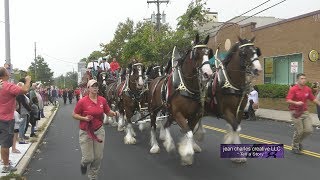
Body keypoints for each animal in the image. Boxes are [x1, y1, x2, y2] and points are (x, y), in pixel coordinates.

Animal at [149, 33, 214, 165]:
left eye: (208, 53)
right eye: (196, 54)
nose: (208, 74)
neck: (187, 87)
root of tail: (155, 80)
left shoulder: (193, 115)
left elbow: (189, 132)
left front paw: (186, 149)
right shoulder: (178, 113)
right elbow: (188, 133)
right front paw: (187, 154)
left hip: (169, 111)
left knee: (166, 125)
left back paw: (168, 143)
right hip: (154, 110)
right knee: (153, 126)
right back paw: (155, 146)